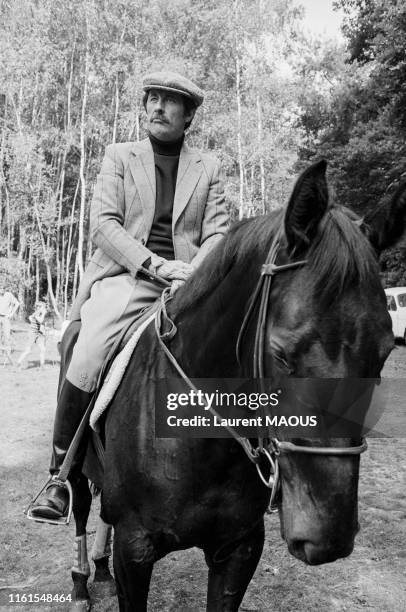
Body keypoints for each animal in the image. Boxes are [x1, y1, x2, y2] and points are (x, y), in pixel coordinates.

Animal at [65, 160, 404, 608]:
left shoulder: (239, 549)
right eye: (281, 354)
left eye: (383, 353)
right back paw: (81, 582)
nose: (328, 537)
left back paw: (99, 570)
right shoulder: (135, 549)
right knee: (81, 507)